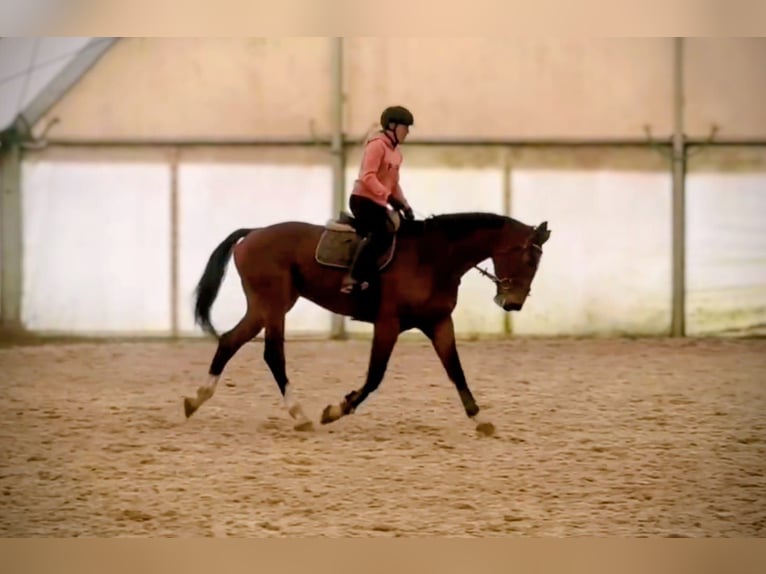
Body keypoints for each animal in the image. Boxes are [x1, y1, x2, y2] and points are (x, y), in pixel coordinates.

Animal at [183, 208, 551, 436]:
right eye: (528, 259)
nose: (513, 303)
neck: (433, 258)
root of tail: (254, 233)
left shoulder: (439, 323)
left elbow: (456, 371)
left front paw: (481, 419)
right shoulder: (388, 323)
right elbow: (375, 376)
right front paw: (336, 409)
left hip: (265, 308)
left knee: (230, 340)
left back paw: (196, 399)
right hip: (273, 307)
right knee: (272, 354)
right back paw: (300, 414)